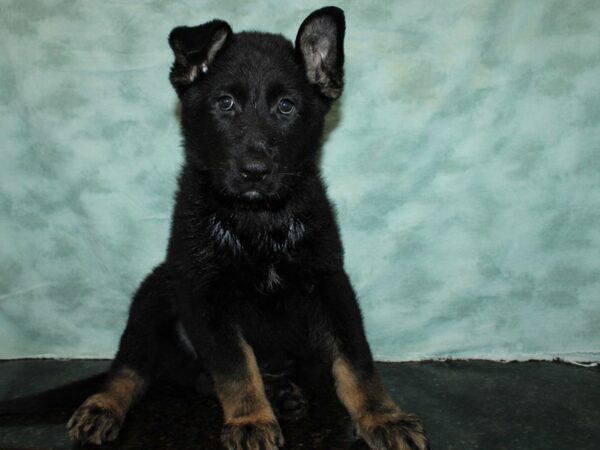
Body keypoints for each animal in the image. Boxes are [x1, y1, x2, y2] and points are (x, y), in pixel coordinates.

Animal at [68, 7, 428, 450]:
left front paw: (382, 416)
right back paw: (103, 406)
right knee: (131, 366)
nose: (255, 172)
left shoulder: (329, 283)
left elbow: (355, 359)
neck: (259, 222)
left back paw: (283, 393)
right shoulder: (203, 292)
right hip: (155, 293)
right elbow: (236, 364)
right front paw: (250, 419)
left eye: (286, 107)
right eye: (225, 103)